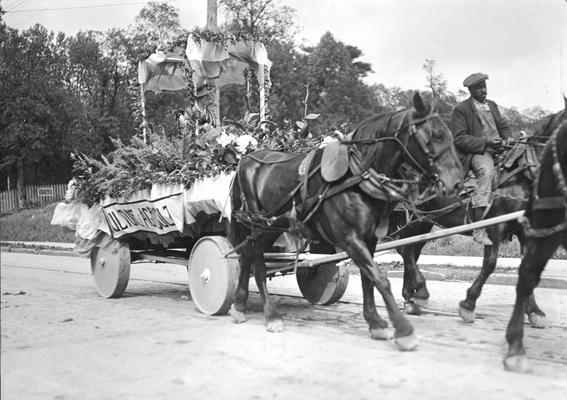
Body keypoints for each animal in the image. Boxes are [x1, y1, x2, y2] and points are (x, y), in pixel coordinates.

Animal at [229, 94, 464, 350]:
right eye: (436, 135)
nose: (457, 183)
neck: (357, 177)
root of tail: (245, 160)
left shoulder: (369, 239)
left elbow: (368, 279)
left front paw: (376, 322)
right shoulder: (349, 238)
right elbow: (381, 279)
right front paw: (403, 328)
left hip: (270, 226)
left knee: (248, 257)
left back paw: (239, 305)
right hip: (257, 224)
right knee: (257, 262)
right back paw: (270, 314)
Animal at [392, 104, 564, 322]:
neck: (523, 175)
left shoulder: (525, 231)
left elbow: (528, 267)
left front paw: (533, 310)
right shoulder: (494, 227)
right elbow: (489, 265)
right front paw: (468, 303)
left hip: (424, 221)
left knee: (411, 251)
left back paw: (411, 297)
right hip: (413, 219)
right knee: (406, 251)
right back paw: (416, 294)